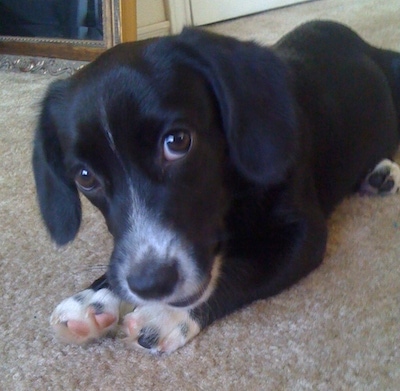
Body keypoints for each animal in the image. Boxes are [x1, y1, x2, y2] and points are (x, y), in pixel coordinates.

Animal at [32, 19, 400, 354]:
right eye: (85, 176)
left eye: (178, 141)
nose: (150, 284)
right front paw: (94, 297)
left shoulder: (303, 233)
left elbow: (238, 269)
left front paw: (164, 315)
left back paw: (384, 171)